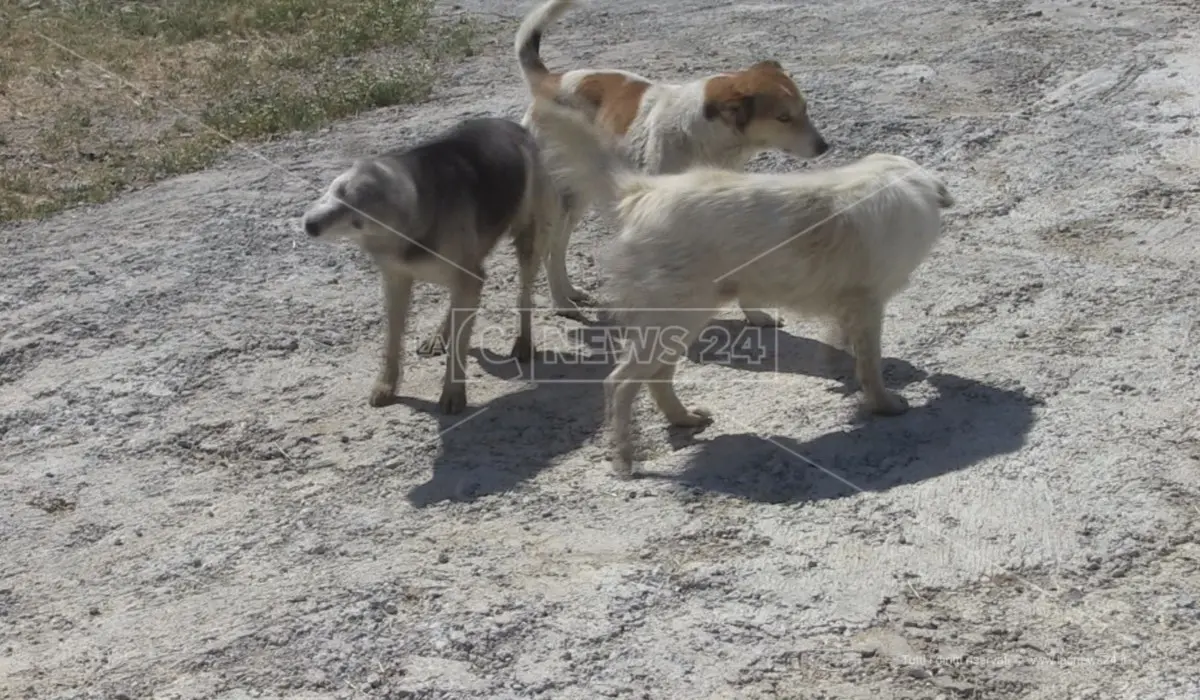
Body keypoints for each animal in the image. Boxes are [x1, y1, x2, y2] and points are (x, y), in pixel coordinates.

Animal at [300, 117, 561, 413]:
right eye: (338, 193)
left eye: (357, 221)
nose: (310, 226)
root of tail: (513, 126)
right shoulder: (397, 281)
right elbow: (392, 339)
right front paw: (386, 385)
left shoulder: (464, 278)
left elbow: (458, 348)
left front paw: (453, 392)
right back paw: (440, 335)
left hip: (529, 242)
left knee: (523, 295)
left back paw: (523, 341)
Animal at [516, 0, 835, 324]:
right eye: (784, 118)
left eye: (805, 109)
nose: (824, 146)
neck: (705, 137)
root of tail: (550, 81)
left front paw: (755, 315)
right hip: (559, 199)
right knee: (551, 247)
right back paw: (561, 302)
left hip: (578, 195)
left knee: (559, 246)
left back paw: (570, 292)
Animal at [530, 97, 960, 482]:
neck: (898, 179)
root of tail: (642, 192)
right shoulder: (869, 305)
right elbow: (870, 366)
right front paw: (885, 405)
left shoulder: (849, 306)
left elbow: (841, 345)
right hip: (676, 318)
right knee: (619, 384)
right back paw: (624, 460)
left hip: (679, 321)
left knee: (656, 378)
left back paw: (683, 419)